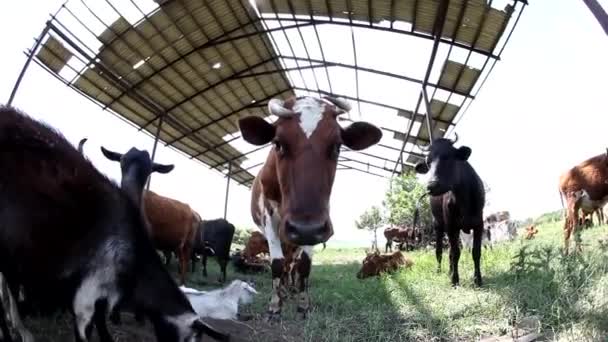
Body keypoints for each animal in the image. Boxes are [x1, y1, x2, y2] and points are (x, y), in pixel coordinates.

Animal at [238, 95, 380, 320]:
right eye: (278, 144)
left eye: (337, 146)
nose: (304, 228)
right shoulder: (270, 218)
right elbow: (276, 263)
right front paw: (275, 305)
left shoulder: (316, 227)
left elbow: (303, 265)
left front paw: (303, 304)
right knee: (285, 262)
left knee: (292, 263)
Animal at [414, 134, 484, 286]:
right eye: (428, 163)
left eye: (448, 156)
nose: (431, 186)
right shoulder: (451, 226)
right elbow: (455, 253)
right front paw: (454, 280)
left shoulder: (479, 224)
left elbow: (476, 252)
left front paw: (478, 279)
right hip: (439, 225)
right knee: (440, 251)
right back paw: (440, 271)